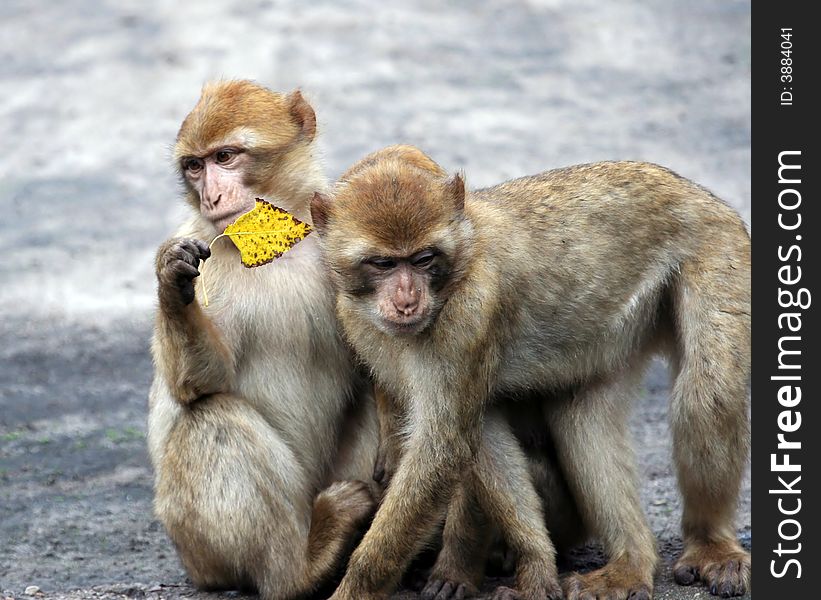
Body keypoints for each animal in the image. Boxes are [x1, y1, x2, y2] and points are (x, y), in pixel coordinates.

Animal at [147, 81, 378, 600]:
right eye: (194, 166)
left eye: (225, 156)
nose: (211, 197)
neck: (281, 245)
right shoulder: (207, 254)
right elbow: (200, 383)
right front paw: (171, 281)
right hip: (200, 546)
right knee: (211, 418)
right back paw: (299, 570)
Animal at [312, 148, 748, 596]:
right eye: (382, 263)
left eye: (423, 259)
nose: (406, 301)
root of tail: (698, 192)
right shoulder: (355, 319)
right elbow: (481, 436)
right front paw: (536, 565)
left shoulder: (468, 317)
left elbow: (443, 450)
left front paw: (361, 585)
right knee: (584, 421)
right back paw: (631, 565)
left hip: (717, 247)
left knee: (707, 398)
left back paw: (711, 546)